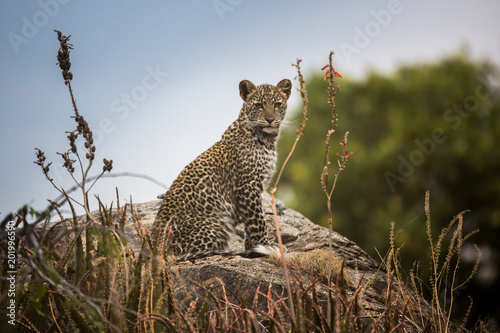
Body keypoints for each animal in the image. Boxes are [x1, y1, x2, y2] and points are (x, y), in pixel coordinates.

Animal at [152, 79, 292, 260]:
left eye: (277, 104)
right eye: (259, 105)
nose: (270, 119)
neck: (267, 140)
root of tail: (153, 247)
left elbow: (250, 223)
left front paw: (253, 247)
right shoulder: (248, 185)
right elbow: (258, 219)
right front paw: (266, 245)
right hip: (217, 224)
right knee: (190, 253)